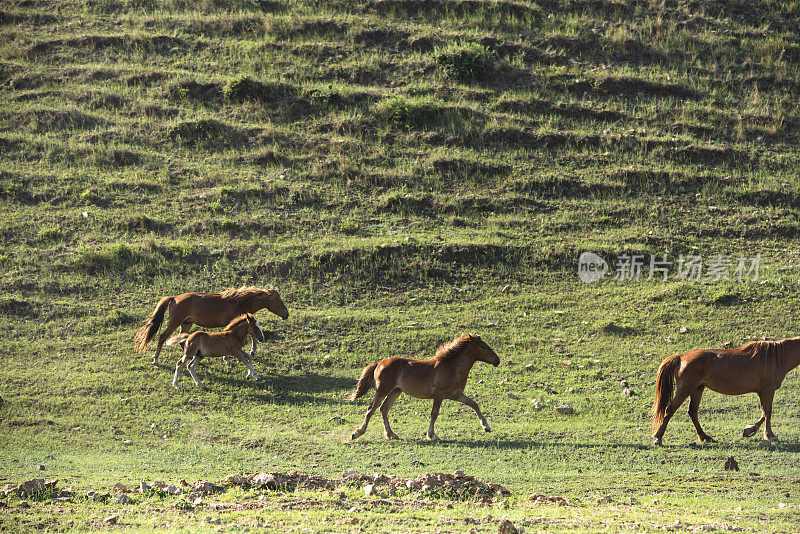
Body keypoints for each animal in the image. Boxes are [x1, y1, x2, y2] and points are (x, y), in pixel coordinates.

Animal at [134, 286, 288, 366]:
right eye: (276, 300)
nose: (286, 314)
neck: (239, 301)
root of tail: (174, 298)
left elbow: (252, 335)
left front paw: (252, 351)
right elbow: (249, 335)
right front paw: (229, 359)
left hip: (186, 323)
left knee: (182, 340)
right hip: (175, 322)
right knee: (162, 337)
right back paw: (155, 360)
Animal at [350, 336, 500, 444]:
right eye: (483, 346)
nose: (497, 360)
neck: (451, 368)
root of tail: (378, 364)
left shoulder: (456, 395)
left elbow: (474, 404)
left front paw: (486, 427)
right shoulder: (439, 395)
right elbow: (434, 414)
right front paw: (431, 435)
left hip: (396, 391)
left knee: (383, 409)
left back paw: (391, 434)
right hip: (383, 390)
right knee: (371, 409)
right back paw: (357, 433)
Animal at [648, 340, 800, 448]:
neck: (777, 357)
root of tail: (681, 357)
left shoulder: (763, 391)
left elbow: (764, 413)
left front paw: (749, 430)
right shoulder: (768, 390)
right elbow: (768, 412)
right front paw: (769, 435)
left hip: (698, 389)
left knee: (692, 412)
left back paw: (705, 437)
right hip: (685, 389)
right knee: (670, 410)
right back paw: (658, 438)